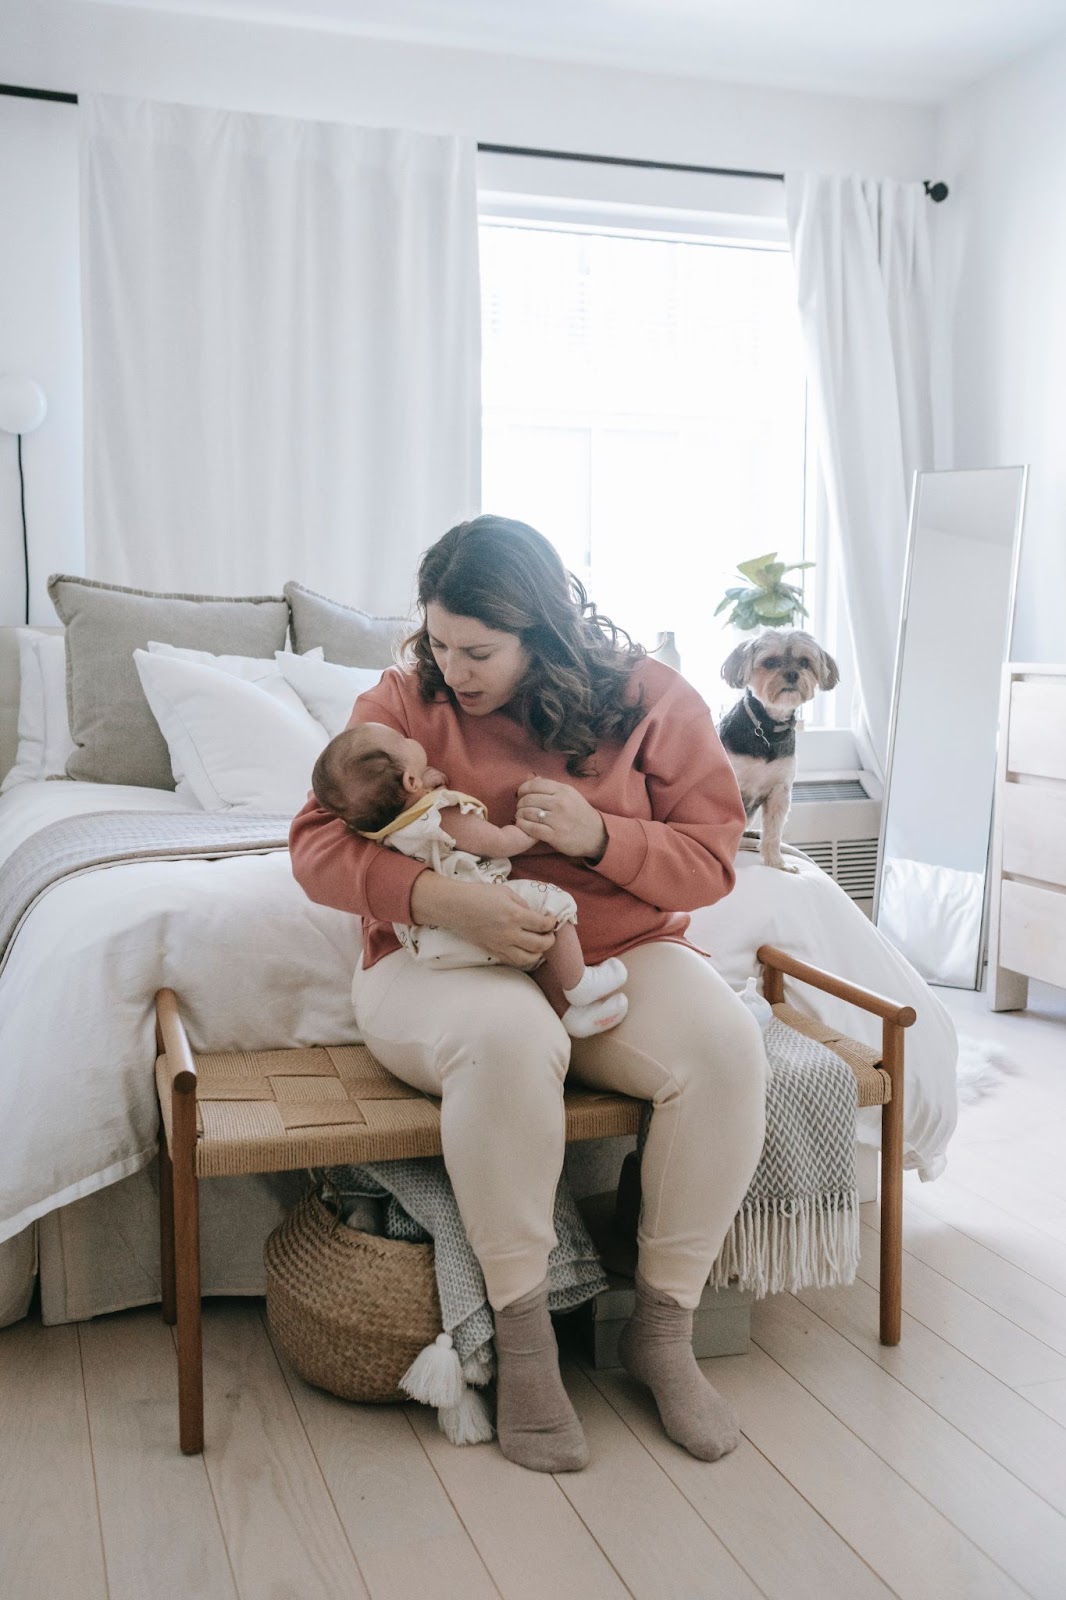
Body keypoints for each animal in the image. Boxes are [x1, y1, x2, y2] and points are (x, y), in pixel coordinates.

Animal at [717, 627, 832, 876]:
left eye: (804, 662)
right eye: (770, 662)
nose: (792, 674)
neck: (767, 729)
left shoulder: (780, 792)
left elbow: (773, 832)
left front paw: (777, 863)